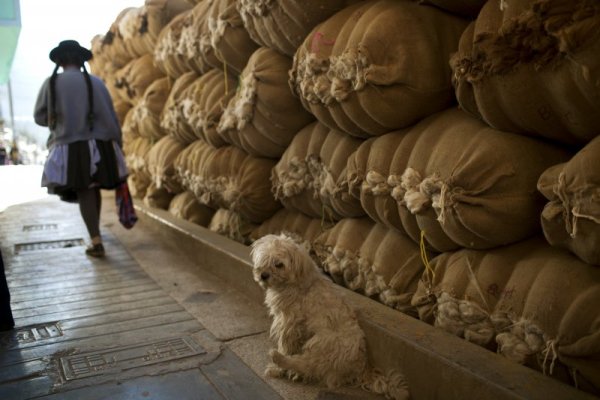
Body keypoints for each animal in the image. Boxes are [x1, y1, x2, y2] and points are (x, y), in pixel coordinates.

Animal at [248, 233, 408, 398]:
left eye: (279, 264)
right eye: (264, 259)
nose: (263, 275)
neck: (296, 282)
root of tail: (360, 368)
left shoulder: (289, 324)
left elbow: (285, 345)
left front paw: (277, 368)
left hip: (323, 342)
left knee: (308, 364)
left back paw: (279, 360)